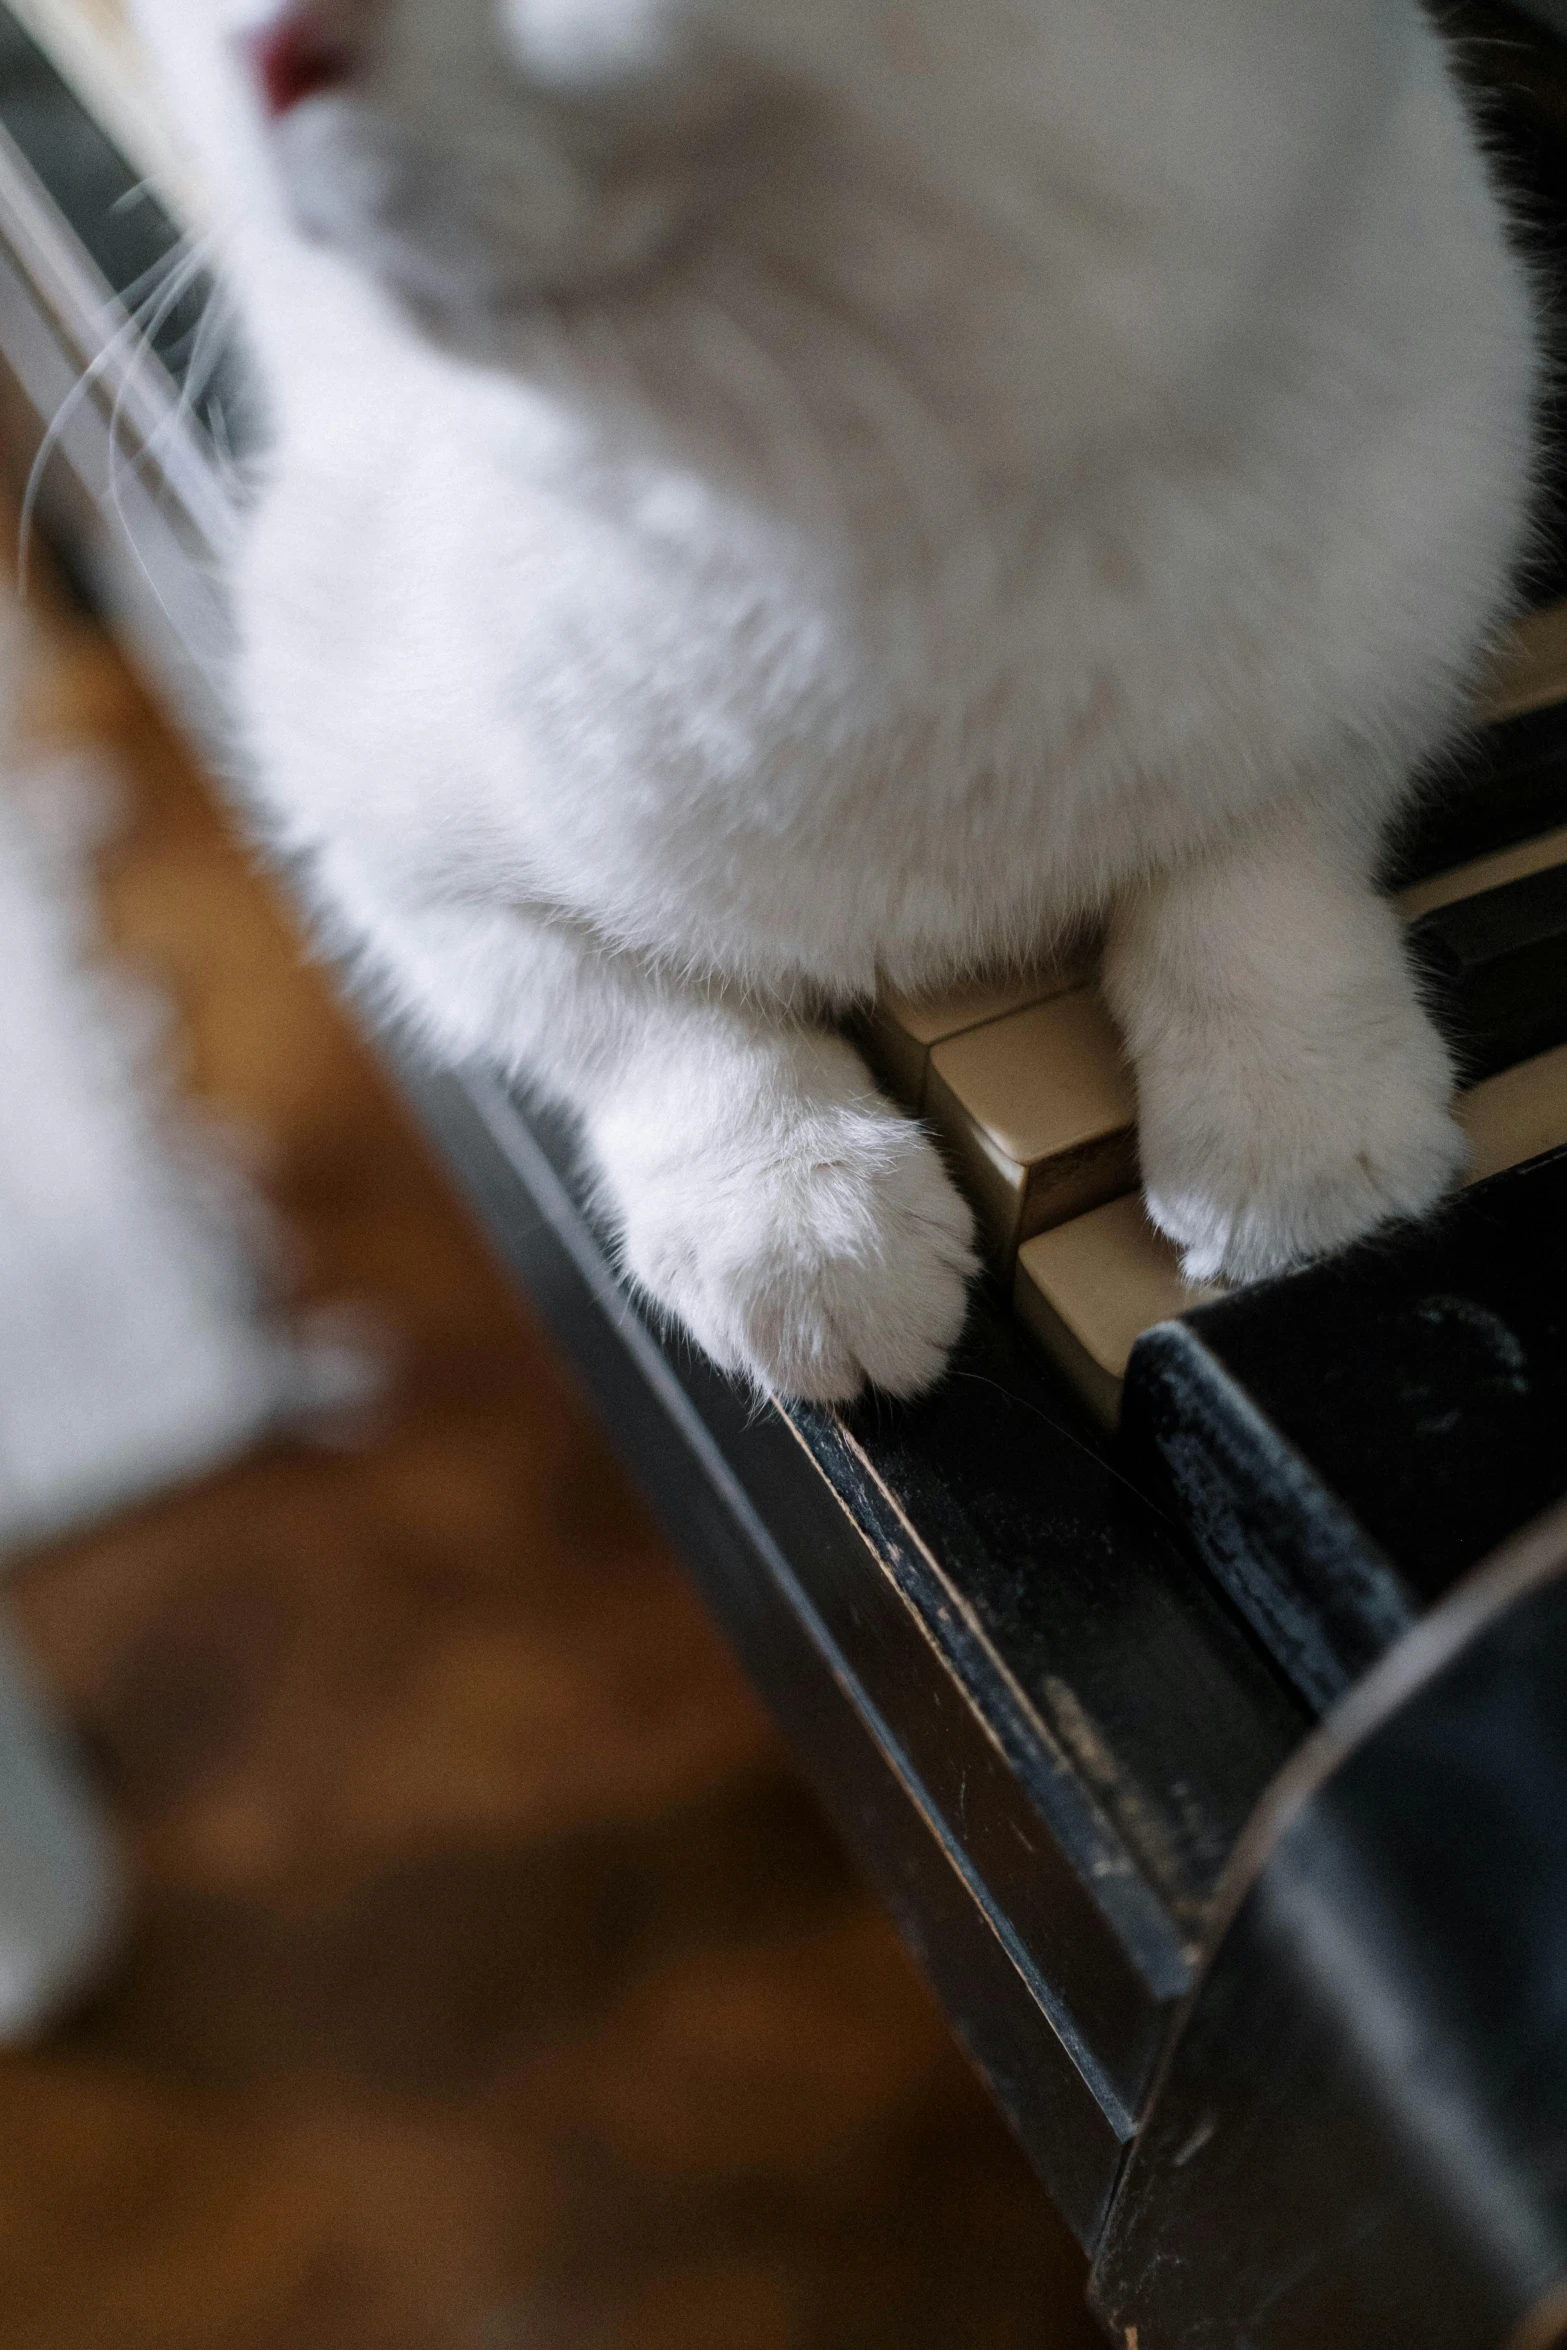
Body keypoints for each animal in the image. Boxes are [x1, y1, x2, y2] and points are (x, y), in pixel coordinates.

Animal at [131, 0, 1531, 1391]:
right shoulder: (384, 852)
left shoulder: (1397, 647)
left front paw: (1301, 1143)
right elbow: (653, 1022)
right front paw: (803, 1224)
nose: (265, 42)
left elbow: (1261, 887)